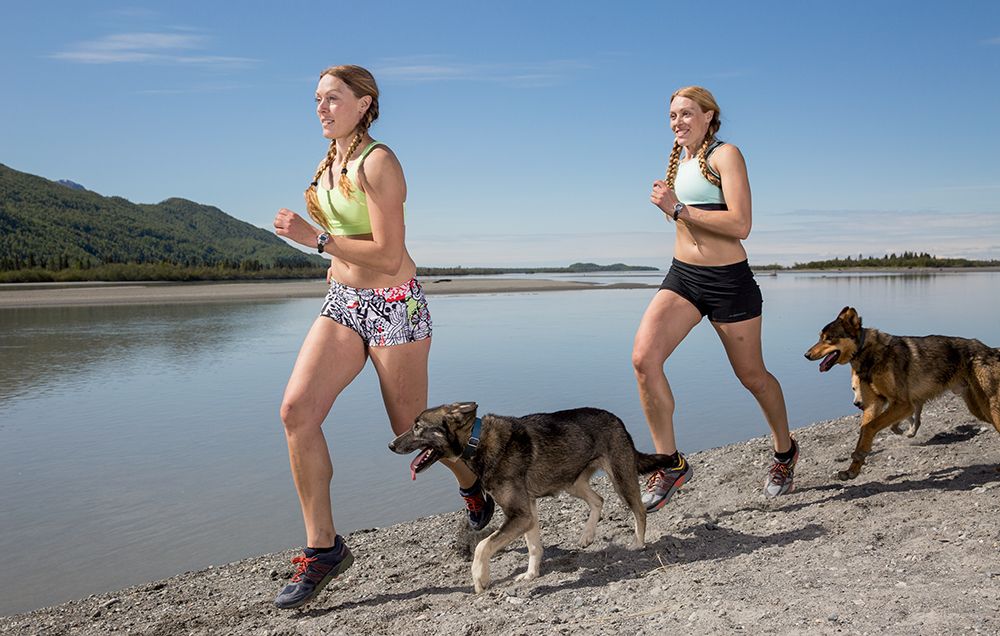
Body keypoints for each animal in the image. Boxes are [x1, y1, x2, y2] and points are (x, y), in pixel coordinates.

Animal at [388, 402, 672, 592]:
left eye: (418, 427)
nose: (390, 445)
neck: (476, 440)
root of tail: (617, 419)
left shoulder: (520, 515)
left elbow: (482, 546)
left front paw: (480, 578)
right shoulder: (528, 512)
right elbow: (533, 546)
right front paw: (531, 574)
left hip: (620, 479)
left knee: (639, 510)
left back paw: (638, 543)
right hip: (571, 482)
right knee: (598, 500)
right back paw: (587, 536)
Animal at [804, 306, 1000, 476]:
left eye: (829, 338)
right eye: (820, 337)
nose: (806, 355)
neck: (867, 353)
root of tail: (989, 349)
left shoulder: (904, 405)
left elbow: (869, 427)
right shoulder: (874, 404)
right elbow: (864, 432)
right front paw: (853, 469)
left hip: (989, 408)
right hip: (978, 409)